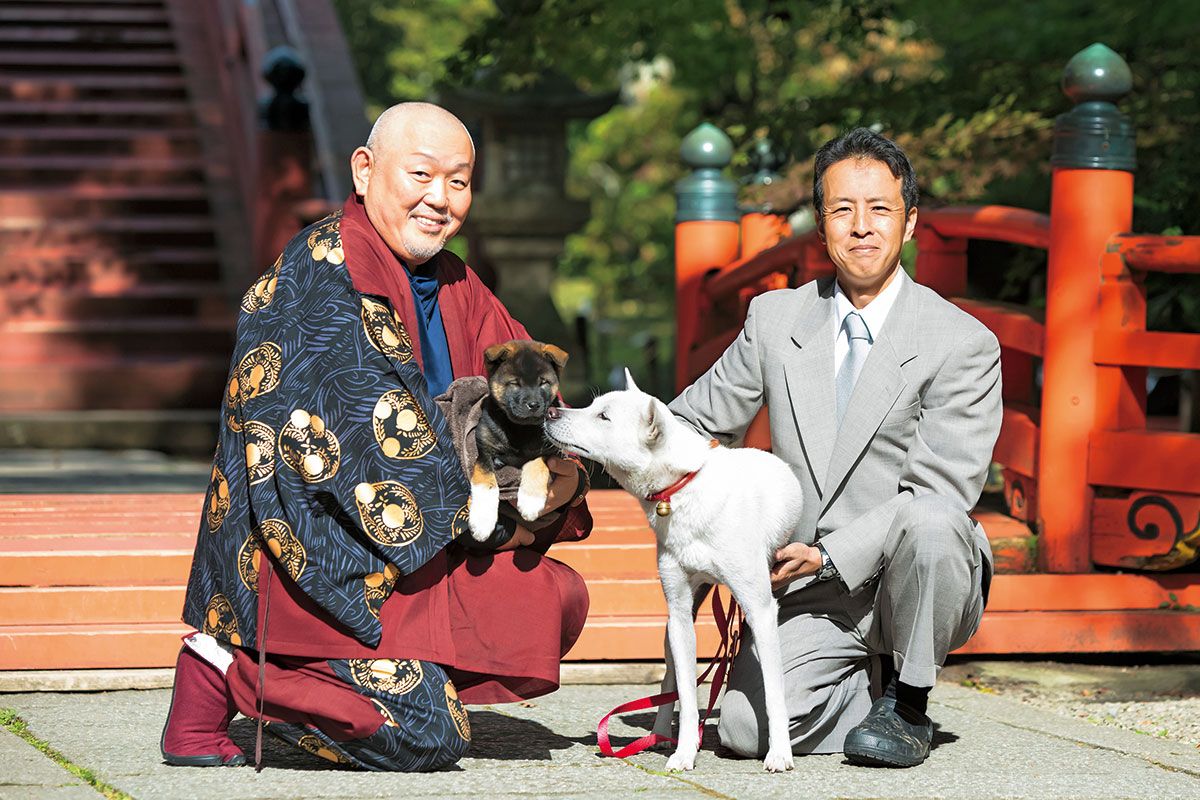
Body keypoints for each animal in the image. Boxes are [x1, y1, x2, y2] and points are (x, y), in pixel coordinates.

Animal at [465, 340, 568, 542]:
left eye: (543, 382)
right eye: (514, 383)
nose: (534, 405)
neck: (521, 429)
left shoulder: (550, 451)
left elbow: (536, 465)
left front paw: (530, 502)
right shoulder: (484, 452)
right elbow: (486, 483)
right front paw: (482, 522)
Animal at [549, 371, 801, 772]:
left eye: (603, 416)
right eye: (592, 406)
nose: (551, 410)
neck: (684, 489)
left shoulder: (760, 609)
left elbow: (774, 689)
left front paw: (779, 752)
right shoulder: (680, 612)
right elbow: (684, 688)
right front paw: (684, 751)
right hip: (672, 627)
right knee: (669, 678)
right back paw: (659, 733)